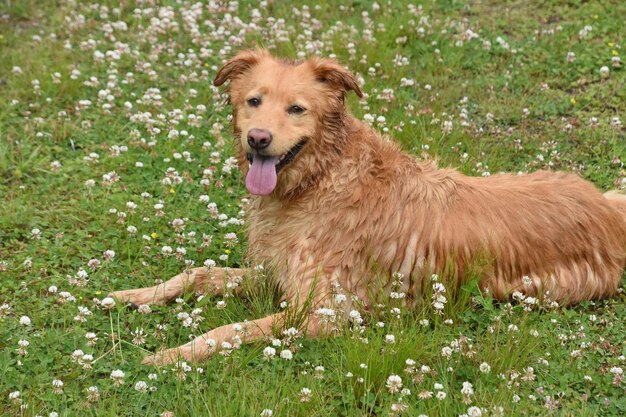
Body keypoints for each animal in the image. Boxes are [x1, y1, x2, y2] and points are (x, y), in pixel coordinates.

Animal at [111, 49, 624, 364]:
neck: (321, 180)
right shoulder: (277, 274)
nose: (258, 139)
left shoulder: (325, 312)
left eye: (297, 109)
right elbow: (197, 274)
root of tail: (607, 207)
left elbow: (227, 329)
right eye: (253, 100)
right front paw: (131, 296)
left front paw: (173, 355)